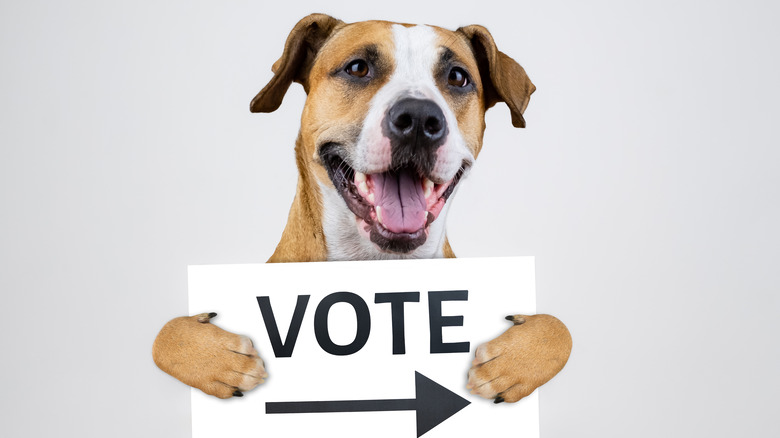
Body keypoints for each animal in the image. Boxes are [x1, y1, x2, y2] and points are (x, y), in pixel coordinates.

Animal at [152, 12, 572, 404]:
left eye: (458, 77)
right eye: (357, 68)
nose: (419, 118)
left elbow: (560, 328)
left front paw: (511, 363)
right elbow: (164, 335)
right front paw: (218, 359)